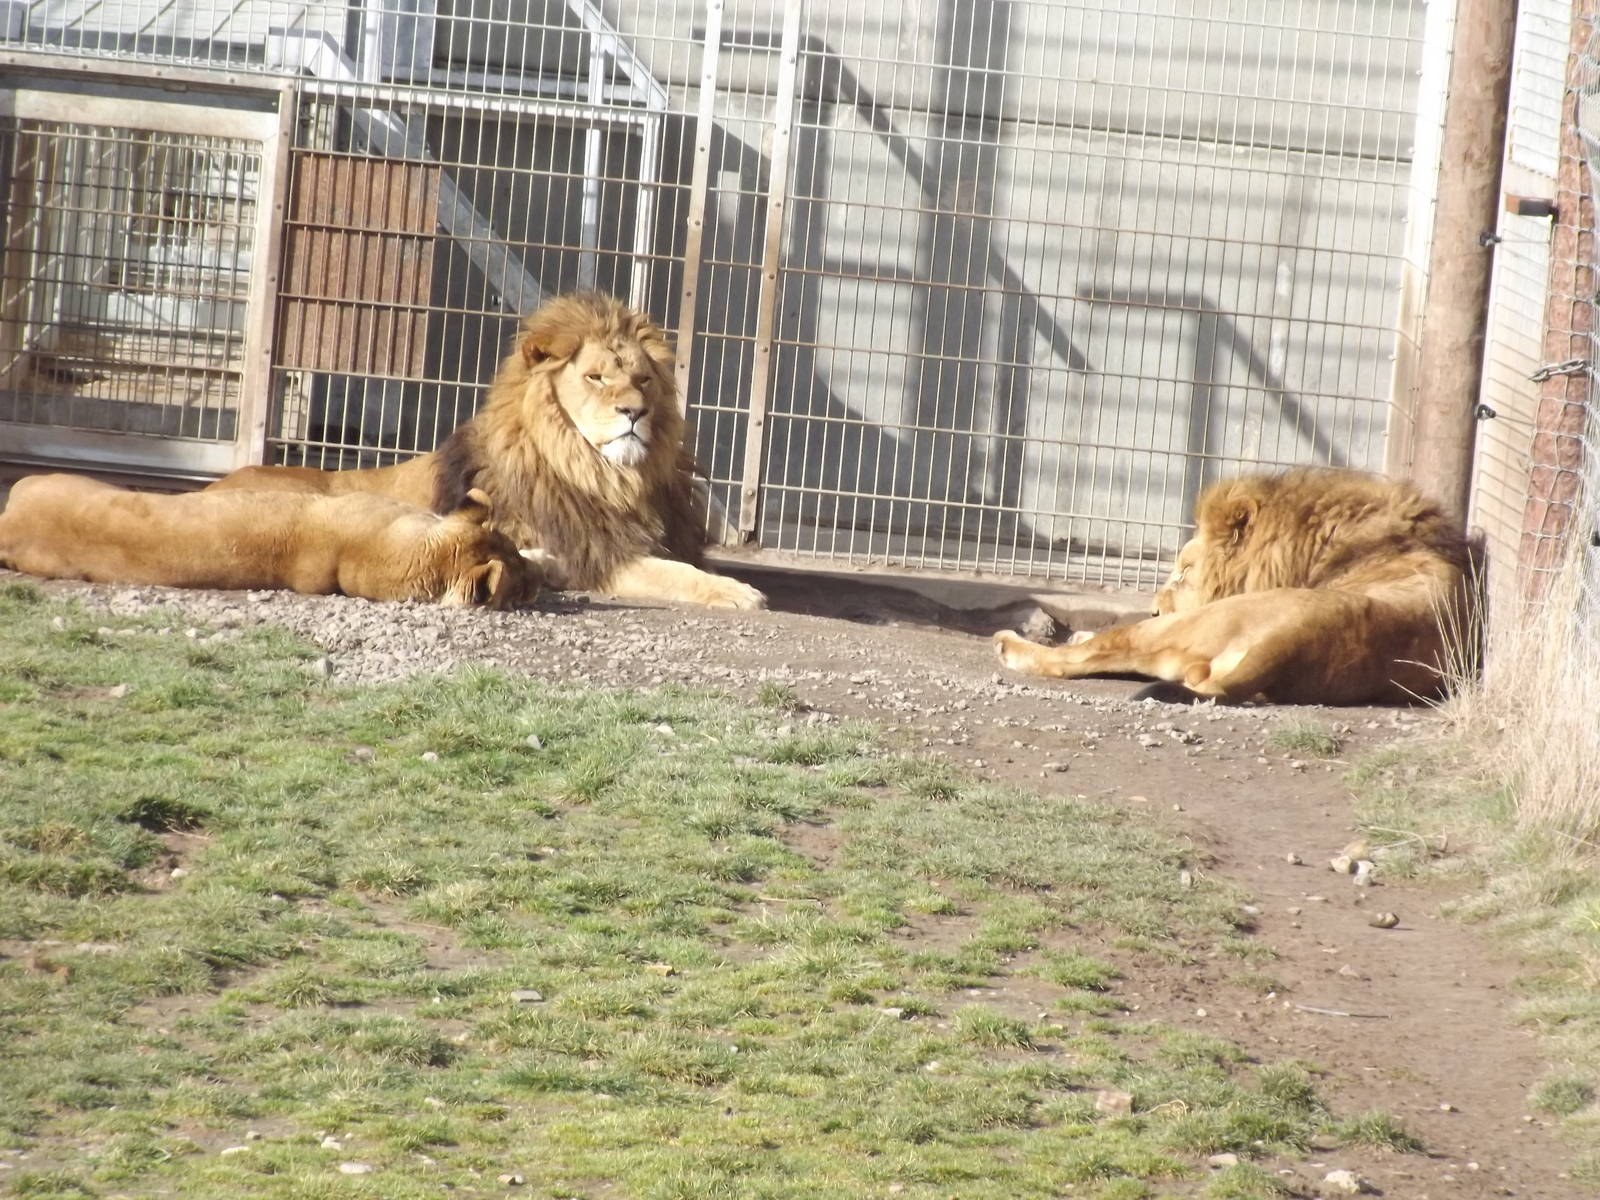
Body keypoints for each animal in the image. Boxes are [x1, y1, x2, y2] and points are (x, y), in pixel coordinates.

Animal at [208, 292, 765, 610]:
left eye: (643, 379)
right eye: (595, 377)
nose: (635, 411)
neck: (608, 476)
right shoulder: (597, 556)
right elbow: (674, 573)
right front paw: (740, 593)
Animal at [994, 468, 1476, 704]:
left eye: (1184, 572)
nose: (1154, 608)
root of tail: (1287, 645)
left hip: (1190, 626)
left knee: (1088, 654)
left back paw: (1009, 645)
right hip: (1187, 659)